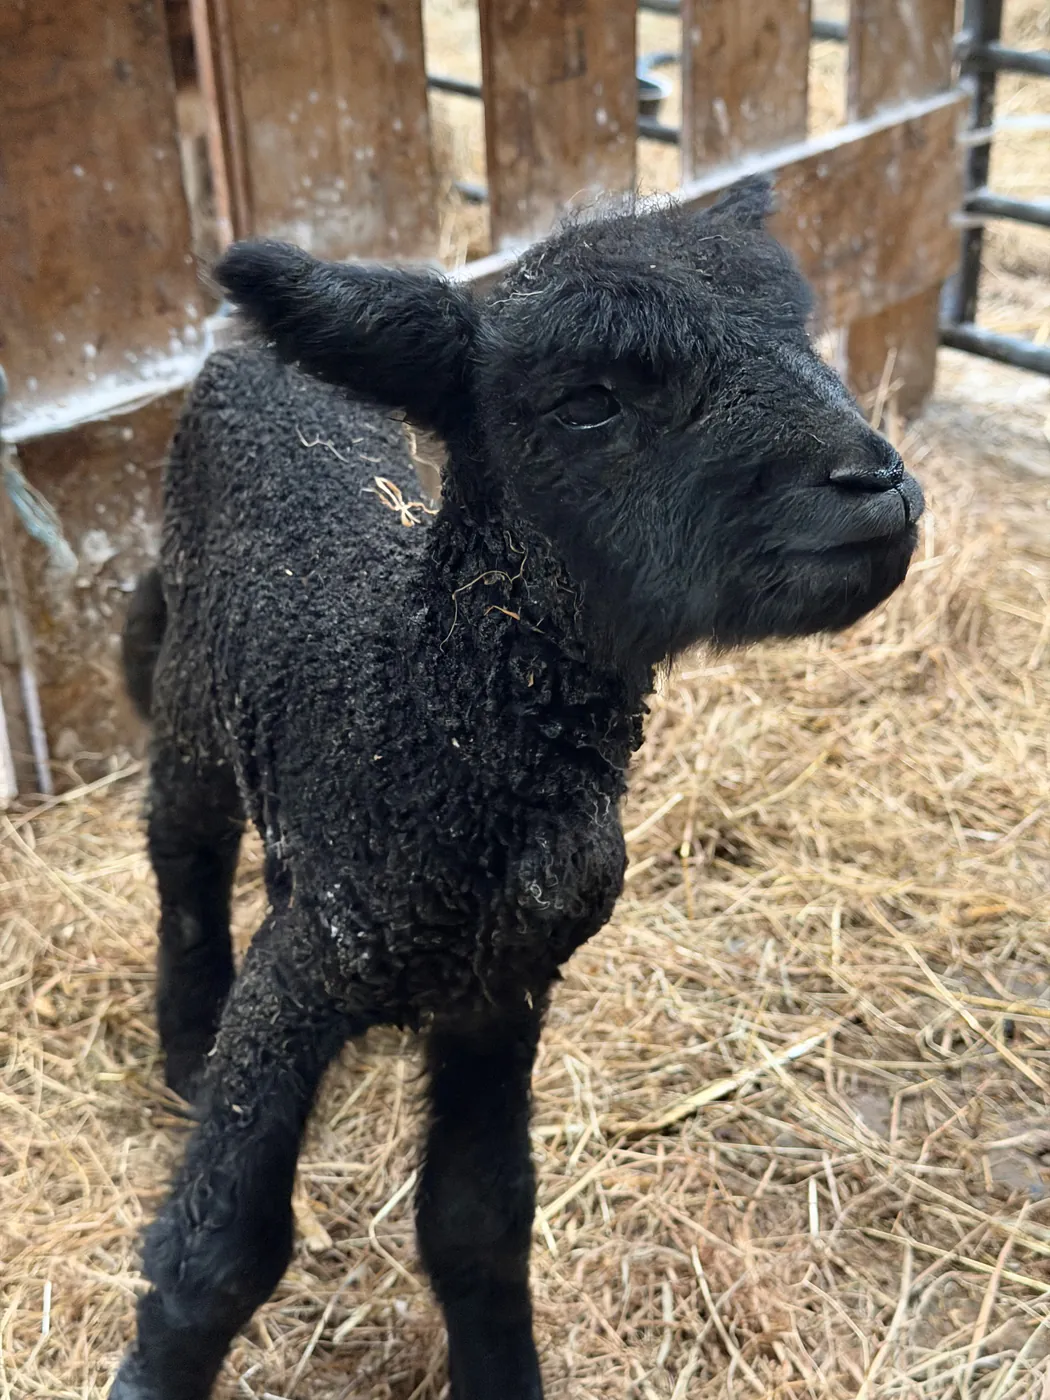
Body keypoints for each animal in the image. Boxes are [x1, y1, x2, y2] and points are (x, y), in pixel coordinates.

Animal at [111, 176, 923, 1400]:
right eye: (589, 402)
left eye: (802, 337)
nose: (876, 486)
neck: (424, 723)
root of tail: (245, 359)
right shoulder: (305, 976)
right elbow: (218, 1250)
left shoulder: (504, 986)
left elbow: (478, 1221)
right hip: (197, 700)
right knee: (184, 851)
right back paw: (181, 1042)